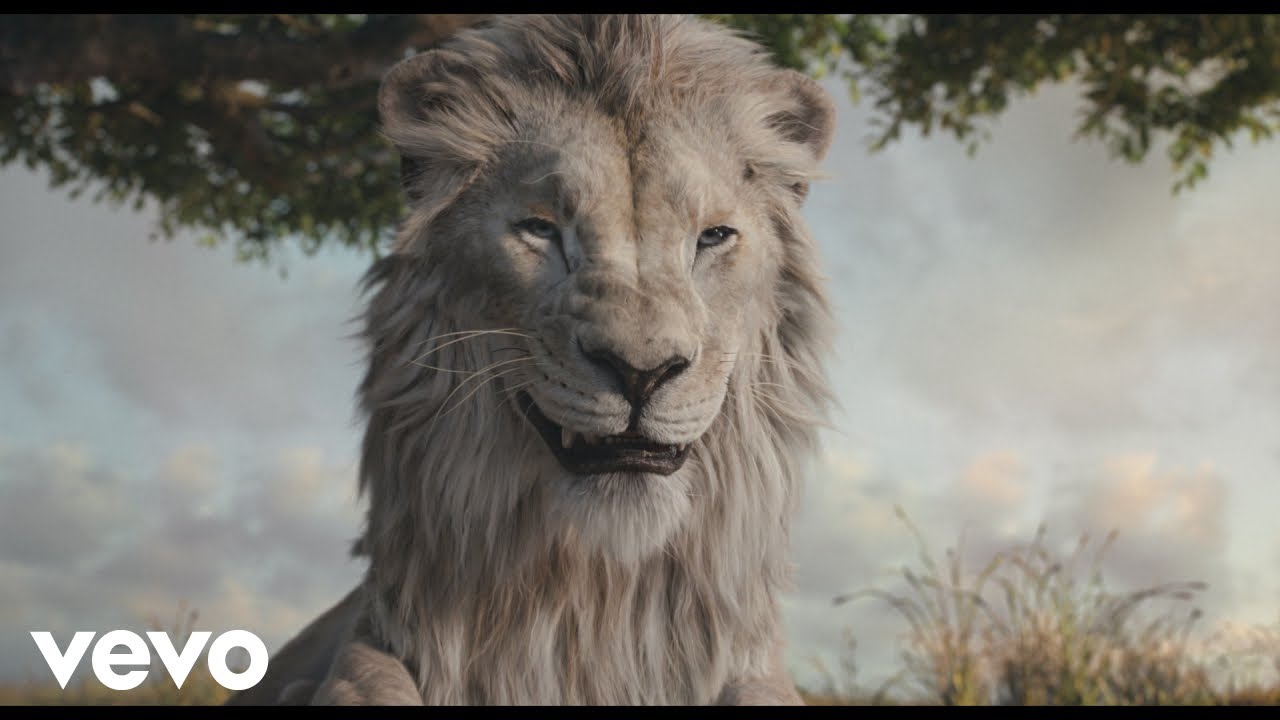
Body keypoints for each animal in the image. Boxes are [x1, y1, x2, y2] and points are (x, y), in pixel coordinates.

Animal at [227, 14, 836, 705]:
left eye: (712, 237)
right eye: (541, 230)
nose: (641, 371)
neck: (596, 604)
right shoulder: (366, 646)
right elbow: (370, 682)